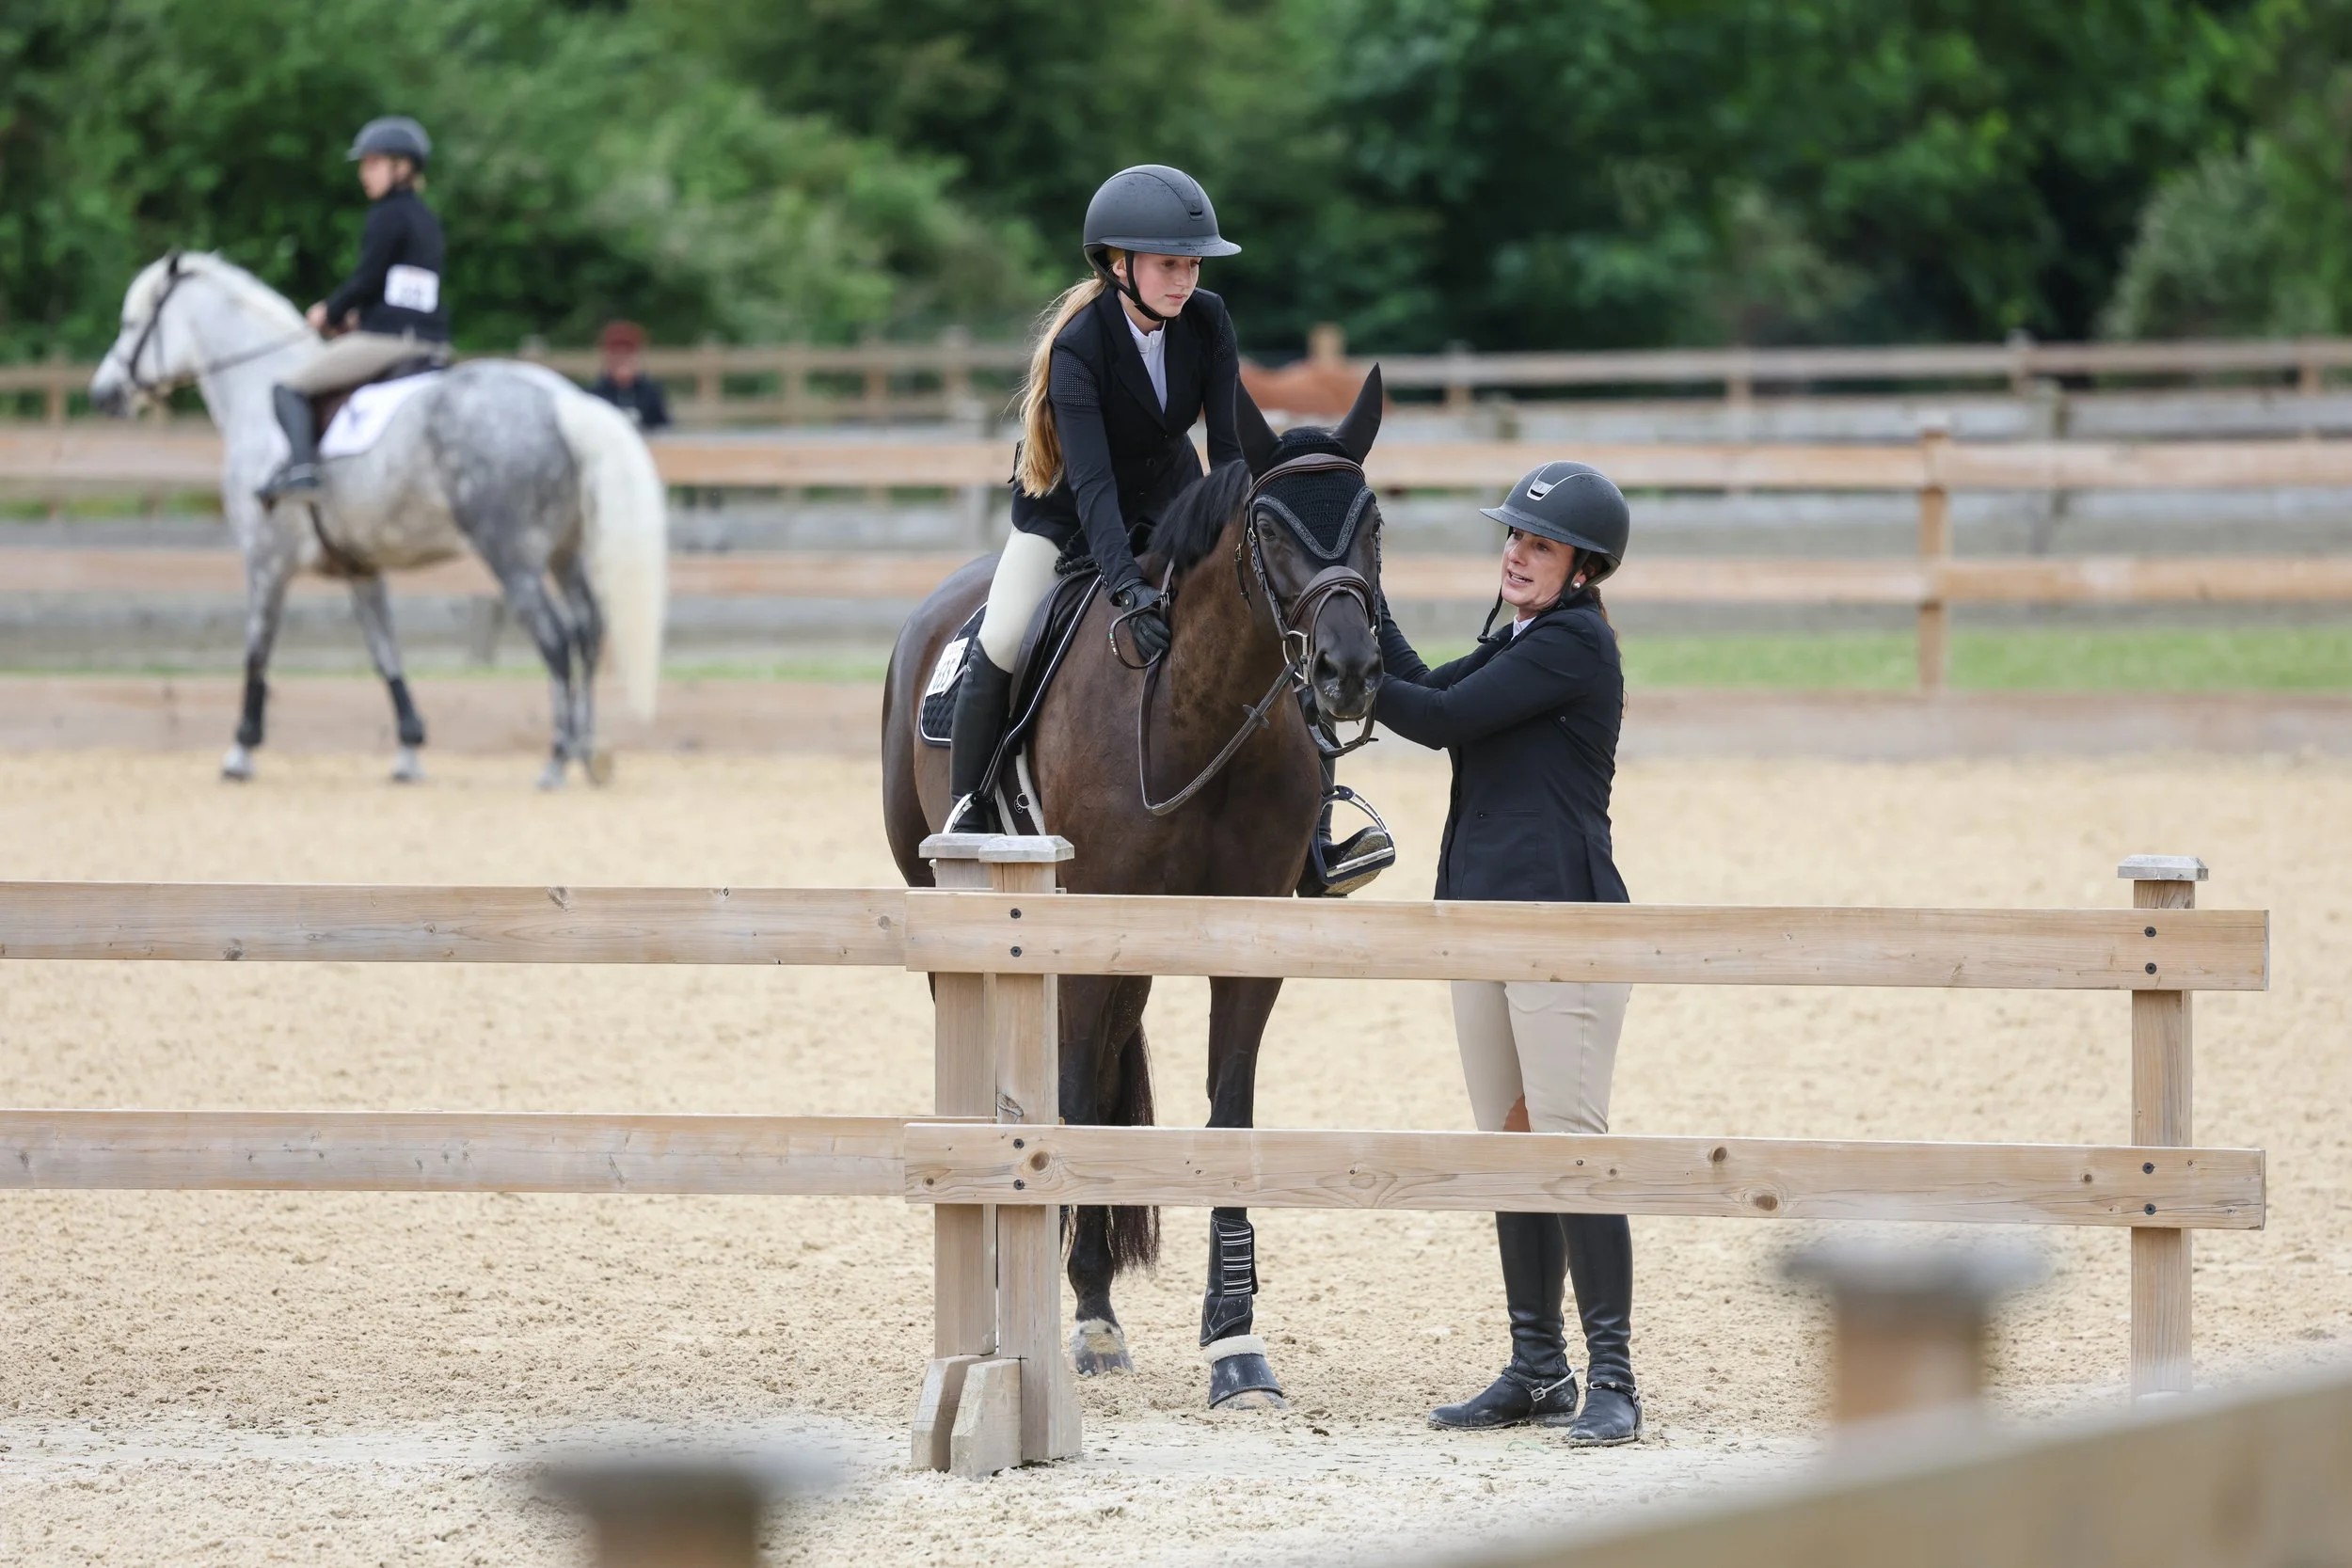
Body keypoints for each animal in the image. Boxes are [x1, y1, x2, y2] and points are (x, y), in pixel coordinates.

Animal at [86, 251, 667, 789]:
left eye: (132, 324)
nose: (102, 394)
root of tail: (560, 400)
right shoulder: (359, 568)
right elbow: (385, 652)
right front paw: (409, 751)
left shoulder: (266, 559)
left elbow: (257, 651)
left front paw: (240, 751)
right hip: (565, 552)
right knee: (588, 631)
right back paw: (591, 754)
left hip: (512, 557)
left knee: (556, 640)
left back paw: (556, 760)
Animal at [882, 370, 1387, 1409]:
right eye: (1267, 526)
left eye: (1373, 521)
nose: (1348, 670)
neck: (1195, 707)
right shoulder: (1079, 942)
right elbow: (1071, 1101)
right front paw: (1076, 1318)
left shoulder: (1246, 943)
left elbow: (1227, 1113)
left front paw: (1234, 1342)